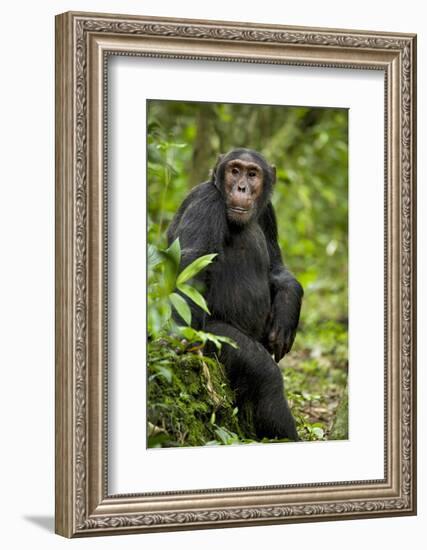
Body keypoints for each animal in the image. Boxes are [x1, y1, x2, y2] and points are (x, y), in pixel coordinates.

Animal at [167, 149, 304, 442]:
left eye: (252, 174)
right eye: (234, 171)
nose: (241, 187)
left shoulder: (268, 212)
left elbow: (276, 266)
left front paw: (286, 315)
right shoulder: (206, 202)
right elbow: (191, 267)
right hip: (212, 337)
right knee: (266, 378)